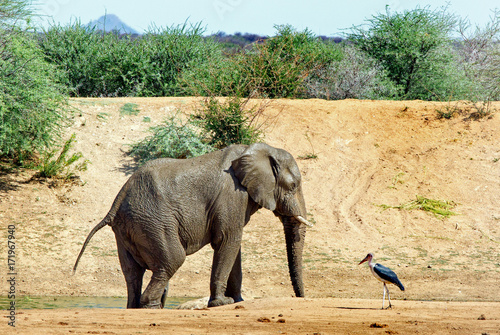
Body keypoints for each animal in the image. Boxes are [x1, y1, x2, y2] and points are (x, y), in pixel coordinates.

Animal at [72, 142, 310, 310]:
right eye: (292, 186)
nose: (302, 298)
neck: (257, 150)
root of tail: (117, 200)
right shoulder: (232, 195)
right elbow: (228, 241)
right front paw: (222, 303)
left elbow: (234, 248)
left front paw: (238, 301)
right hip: (153, 222)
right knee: (172, 260)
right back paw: (152, 308)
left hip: (127, 229)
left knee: (133, 272)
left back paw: (136, 307)